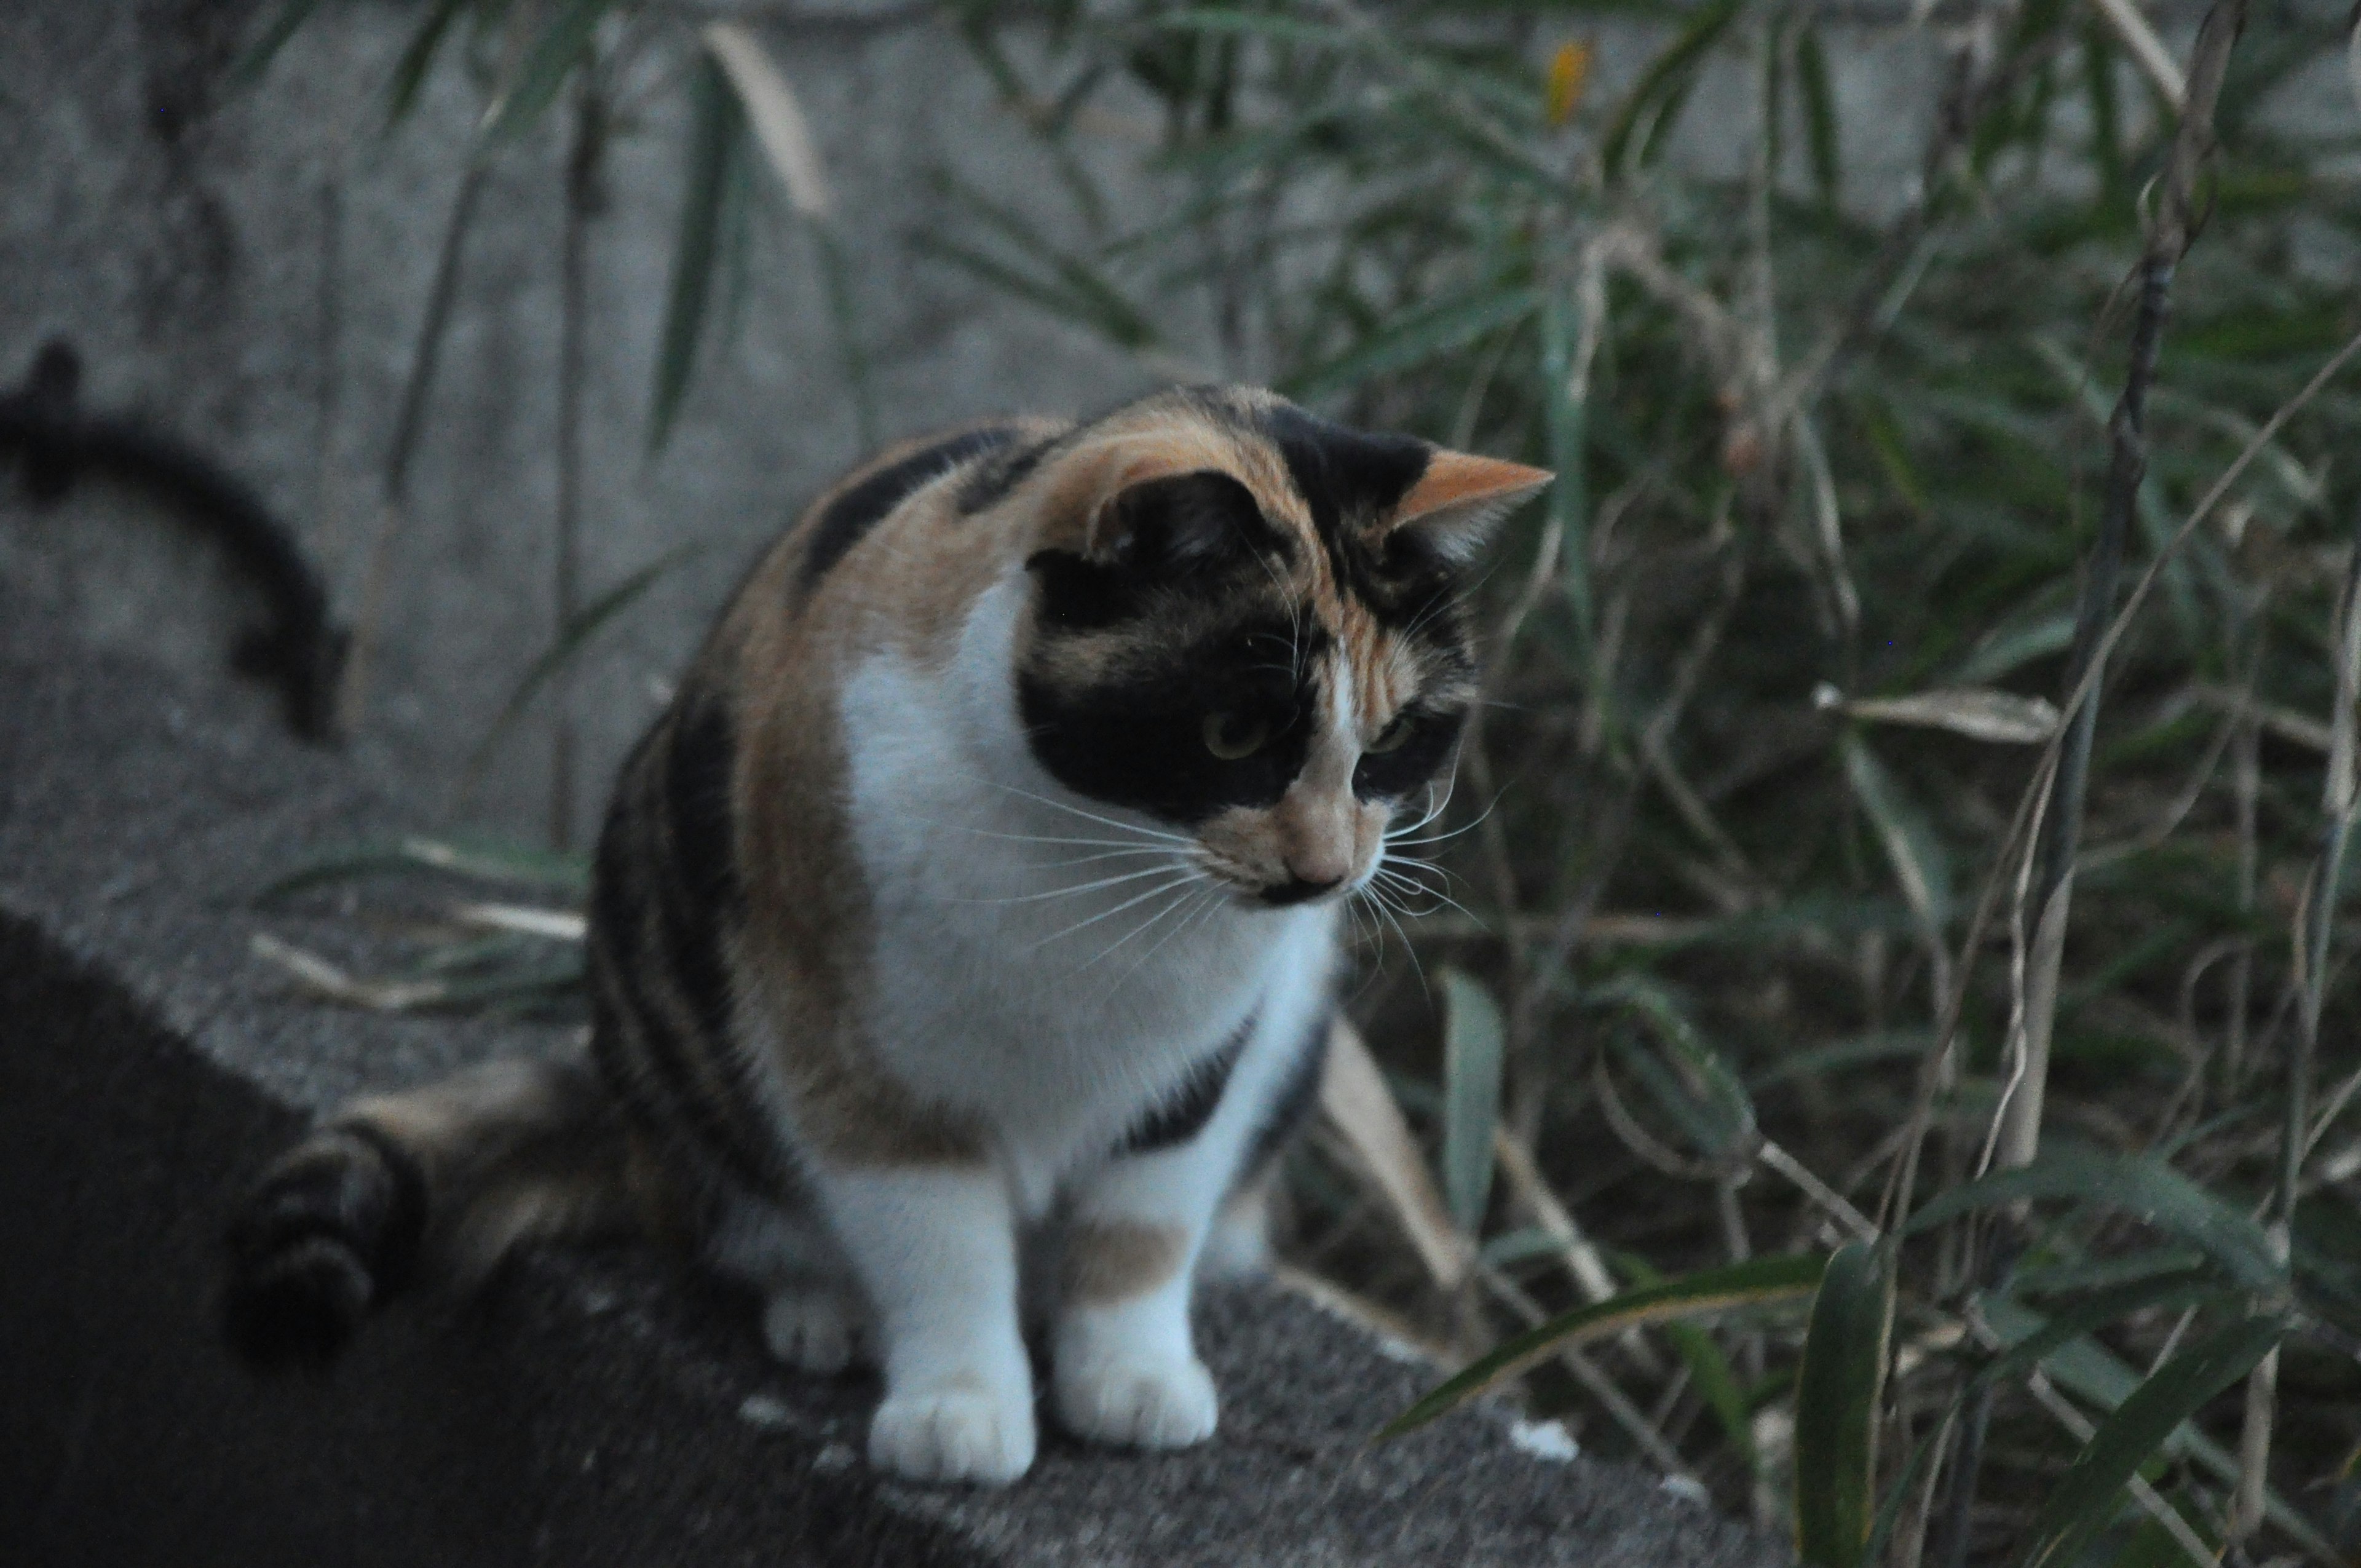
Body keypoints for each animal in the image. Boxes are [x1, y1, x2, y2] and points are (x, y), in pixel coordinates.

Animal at [225, 384, 1549, 1492]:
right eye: (1233, 734)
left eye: (1394, 745)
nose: (1326, 870)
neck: (1098, 876)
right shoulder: (848, 1053)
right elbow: (937, 1240)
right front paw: (960, 1409)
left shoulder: (1204, 1064)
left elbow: (1143, 1222)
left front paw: (1130, 1375)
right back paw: (826, 1309)